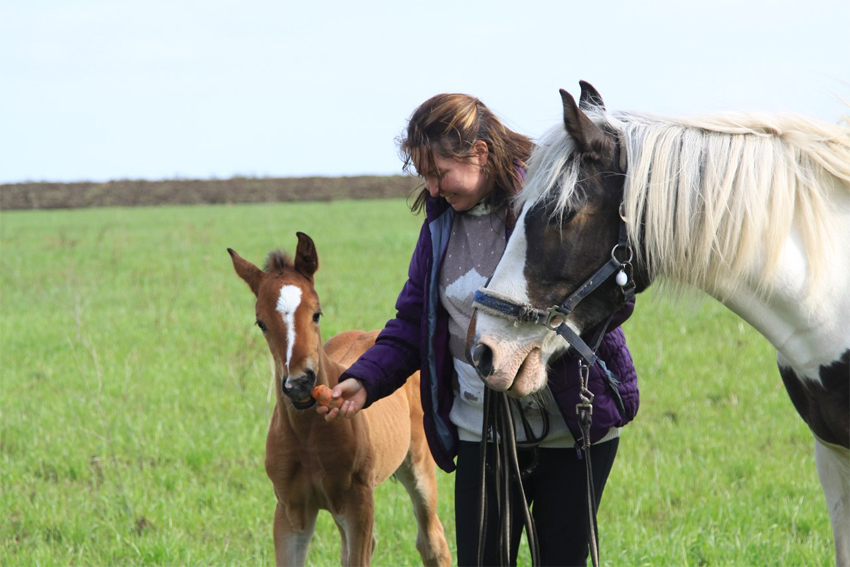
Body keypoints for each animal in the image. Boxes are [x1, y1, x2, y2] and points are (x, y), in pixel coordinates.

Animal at [225, 233, 450, 564]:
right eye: (261, 323)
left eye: (316, 313)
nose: (300, 383)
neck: (308, 438)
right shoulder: (290, 510)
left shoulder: (358, 503)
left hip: (419, 468)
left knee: (432, 541)